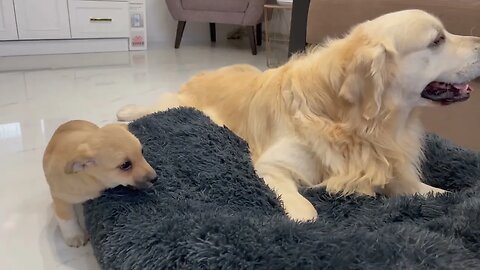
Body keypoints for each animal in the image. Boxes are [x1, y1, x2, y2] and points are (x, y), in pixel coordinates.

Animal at [117, 10, 480, 221]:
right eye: (437, 40)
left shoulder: (392, 172)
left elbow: (437, 193)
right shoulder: (271, 167)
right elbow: (307, 212)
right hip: (179, 104)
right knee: (152, 106)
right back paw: (124, 110)